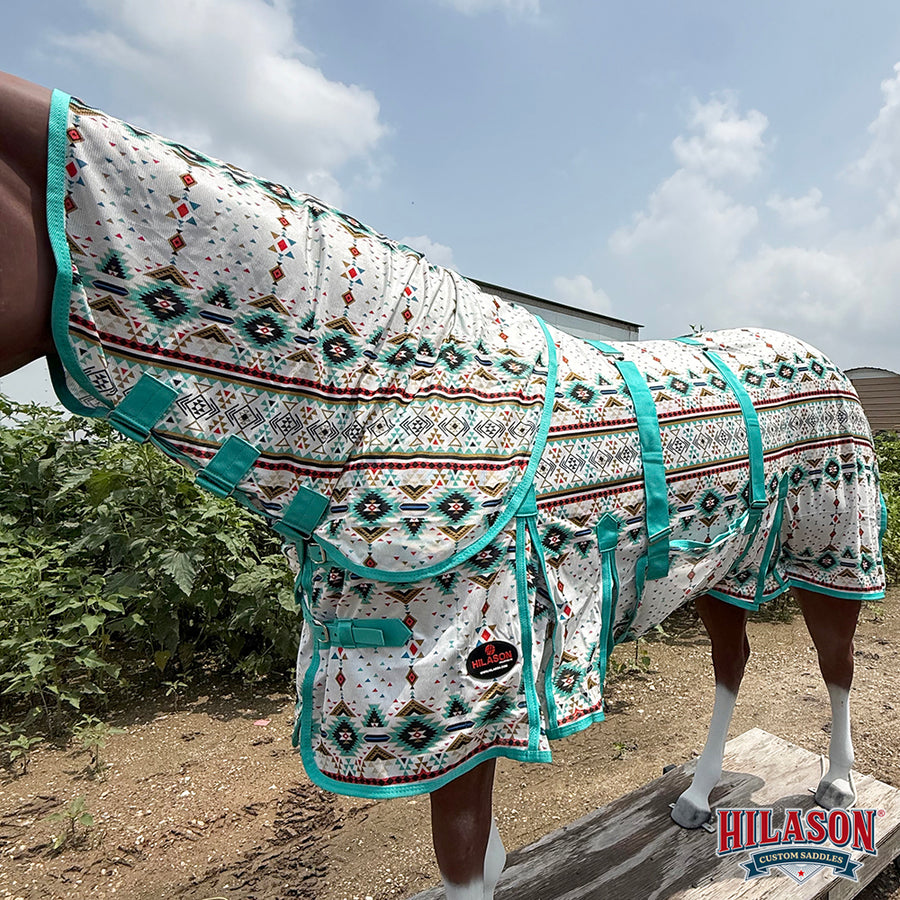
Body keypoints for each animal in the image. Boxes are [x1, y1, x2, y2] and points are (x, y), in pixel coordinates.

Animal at [0, 70, 886, 900]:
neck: (380, 394)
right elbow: (481, 858)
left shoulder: (469, 690)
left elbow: (464, 858)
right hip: (718, 570)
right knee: (732, 664)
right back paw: (699, 799)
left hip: (835, 547)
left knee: (837, 662)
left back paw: (837, 786)